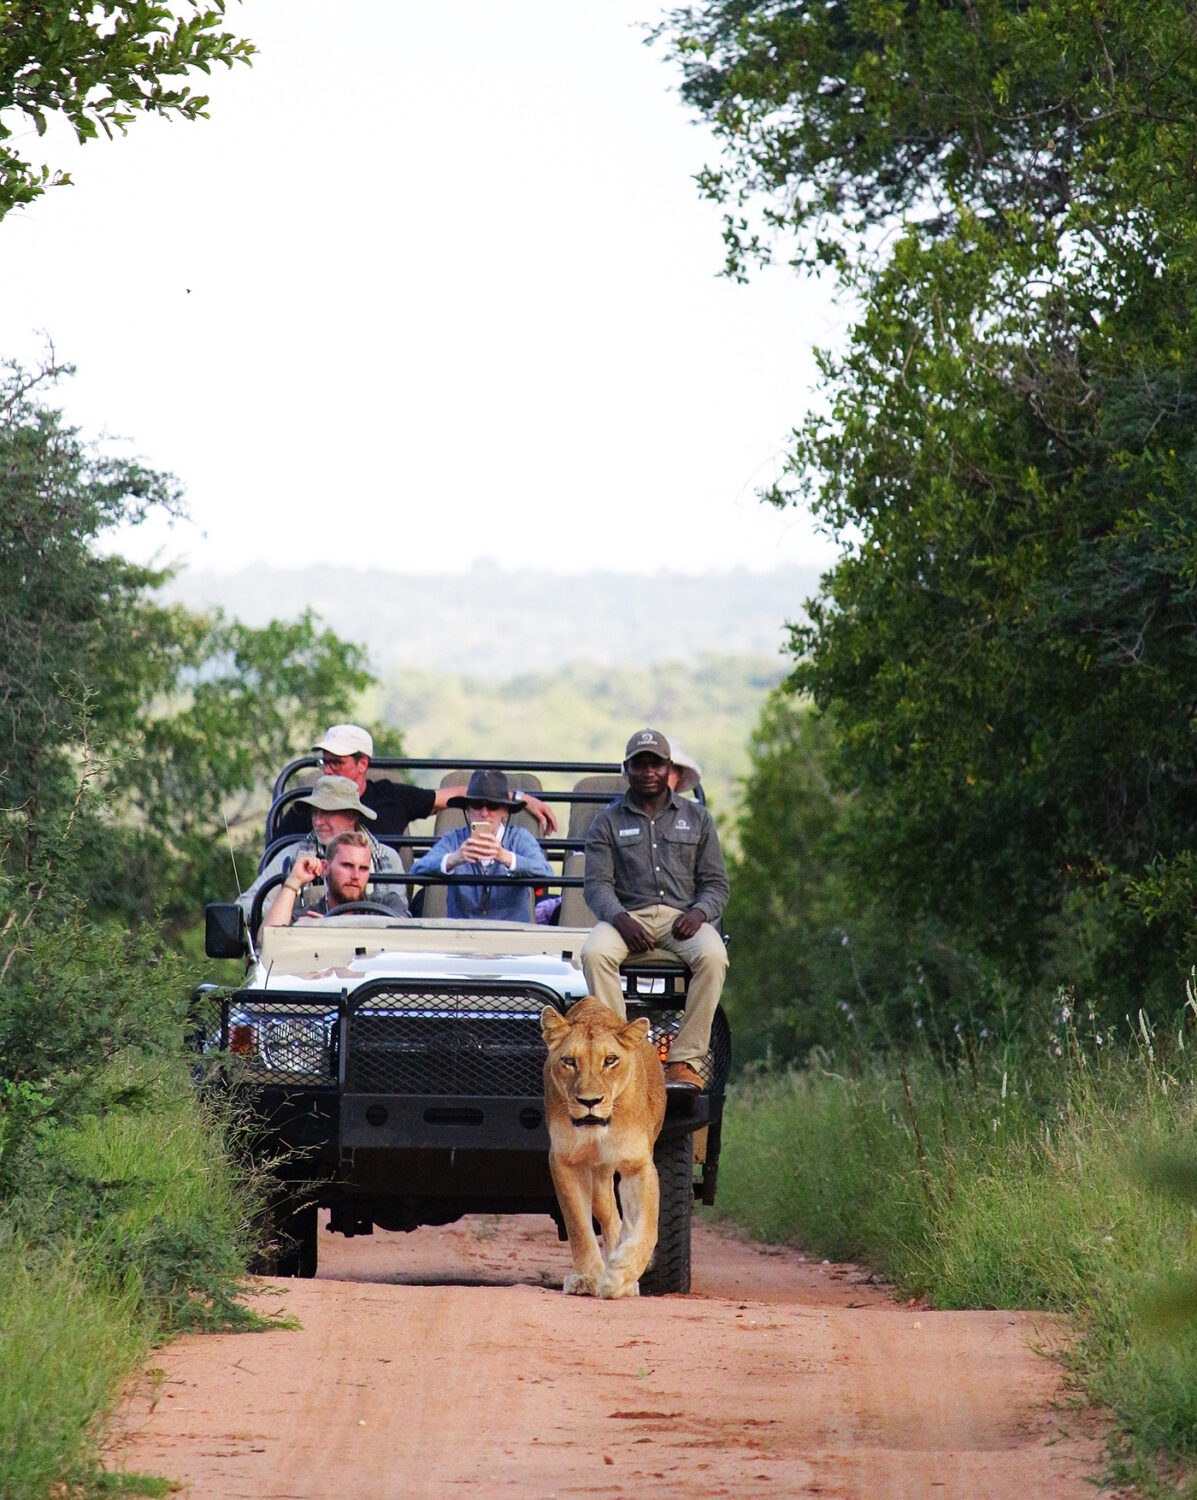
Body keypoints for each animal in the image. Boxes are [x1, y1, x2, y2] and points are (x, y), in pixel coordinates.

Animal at [540, 996, 666, 1299]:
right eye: (569, 1061)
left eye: (610, 1060)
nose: (589, 1101)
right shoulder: (564, 1160)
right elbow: (578, 1227)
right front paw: (588, 1278)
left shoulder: (638, 1164)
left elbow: (647, 1226)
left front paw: (621, 1275)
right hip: (598, 1174)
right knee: (608, 1214)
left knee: (625, 1221)